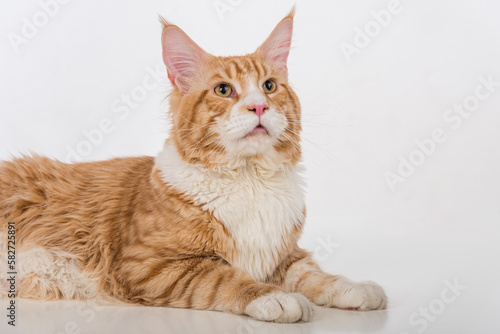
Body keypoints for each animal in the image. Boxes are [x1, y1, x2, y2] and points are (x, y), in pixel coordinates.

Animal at [0, 9, 386, 322]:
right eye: (223, 90)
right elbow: (223, 277)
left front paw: (355, 287)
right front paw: (274, 298)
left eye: (269, 86)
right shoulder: (148, 265)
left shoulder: (284, 254)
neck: (249, 179)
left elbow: (314, 275)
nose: (260, 106)